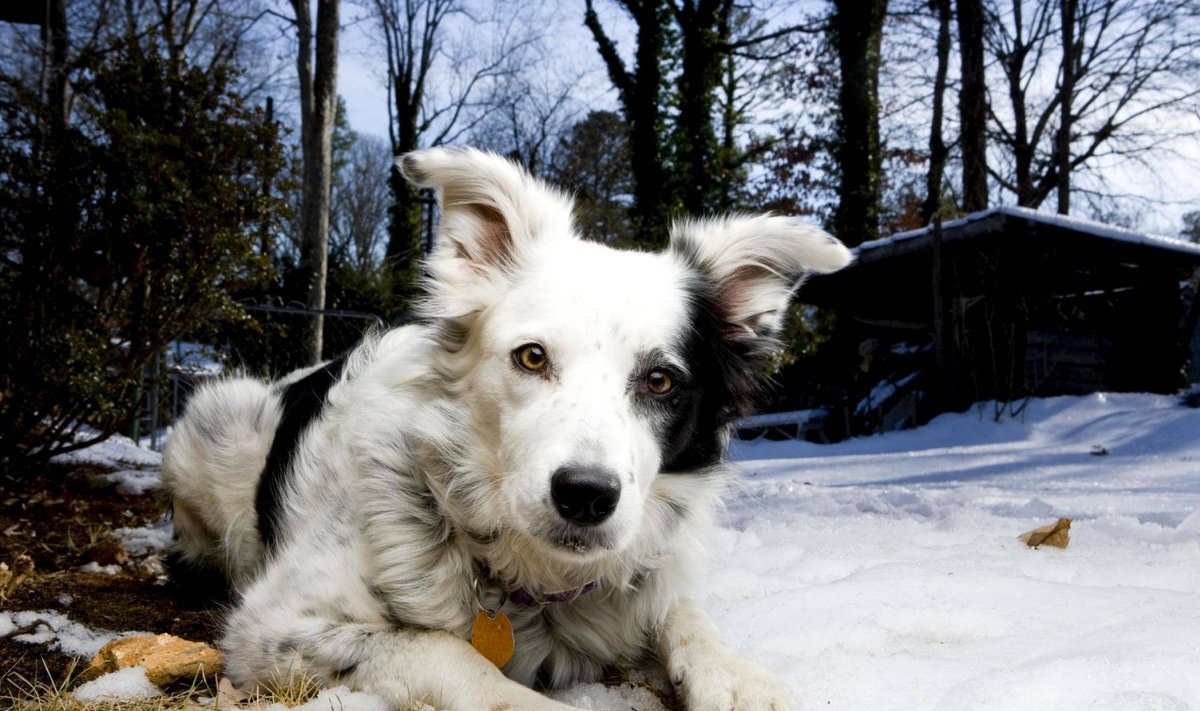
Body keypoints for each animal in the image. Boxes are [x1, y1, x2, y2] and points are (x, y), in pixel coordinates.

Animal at [162, 145, 854, 711]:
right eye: (532, 357)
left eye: (660, 381)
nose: (585, 496)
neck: (531, 579)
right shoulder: (276, 625)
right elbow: (444, 651)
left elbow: (683, 610)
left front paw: (735, 674)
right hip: (209, 429)